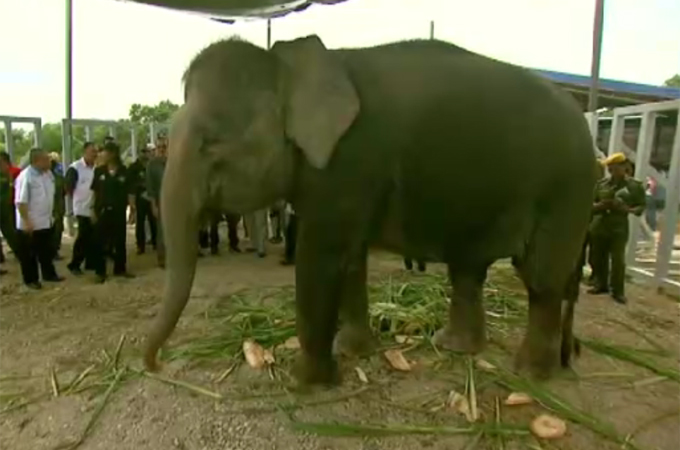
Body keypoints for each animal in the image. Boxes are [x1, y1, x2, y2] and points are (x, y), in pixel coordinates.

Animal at [143, 35, 599, 386]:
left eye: (211, 143)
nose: (156, 366)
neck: (290, 66)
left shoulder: (348, 162)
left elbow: (320, 258)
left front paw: (306, 384)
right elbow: (350, 260)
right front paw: (354, 354)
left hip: (565, 190)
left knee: (541, 280)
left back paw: (530, 375)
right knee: (469, 270)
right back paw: (456, 348)